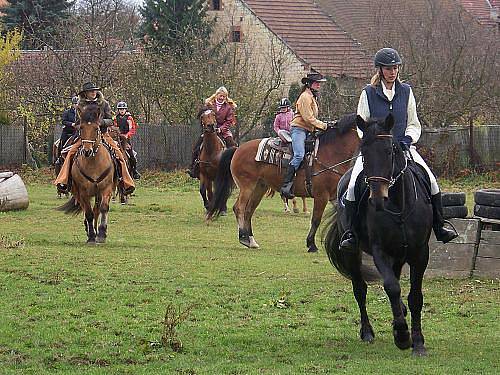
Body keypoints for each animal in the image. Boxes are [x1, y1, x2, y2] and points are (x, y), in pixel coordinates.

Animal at [57, 103, 117, 245]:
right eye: (81, 128)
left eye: (96, 128)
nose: (87, 151)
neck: (94, 163)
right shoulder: (83, 191)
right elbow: (88, 213)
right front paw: (91, 236)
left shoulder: (106, 189)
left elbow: (103, 208)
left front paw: (101, 233)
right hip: (78, 192)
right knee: (86, 209)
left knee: (97, 210)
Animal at [205, 113, 362, 251]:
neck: (331, 152)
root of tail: (237, 149)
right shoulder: (321, 196)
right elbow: (316, 220)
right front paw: (311, 244)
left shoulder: (334, 197)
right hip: (247, 186)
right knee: (239, 208)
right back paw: (244, 238)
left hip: (259, 188)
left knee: (249, 211)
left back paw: (251, 240)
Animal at [324, 115, 434, 358]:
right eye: (364, 152)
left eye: (390, 150)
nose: (377, 198)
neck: (398, 206)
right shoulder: (379, 251)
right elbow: (391, 287)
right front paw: (402, 336)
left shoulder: (420, 253)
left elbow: (415, 296)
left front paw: (418, 342)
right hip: (353, 254)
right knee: (360, 290)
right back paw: (367, 332)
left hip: (399, 255)